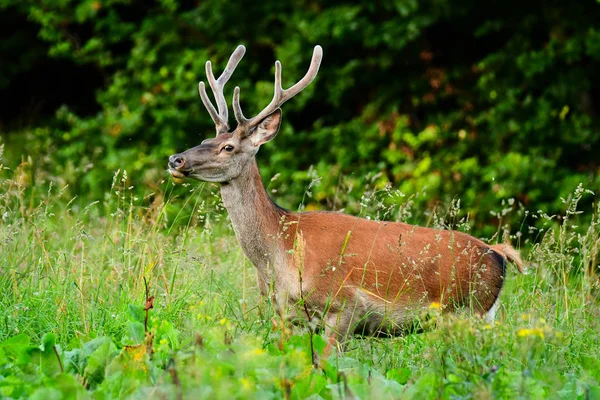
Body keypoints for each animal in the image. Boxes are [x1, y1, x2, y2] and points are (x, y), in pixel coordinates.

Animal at [166, 43, 524, 344]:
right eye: (206, 139)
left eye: (228, 147)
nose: (176, 159)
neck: (280, 256)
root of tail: (497, 253)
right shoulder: (286, 317)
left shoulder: (344, 306)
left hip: (467, 310)